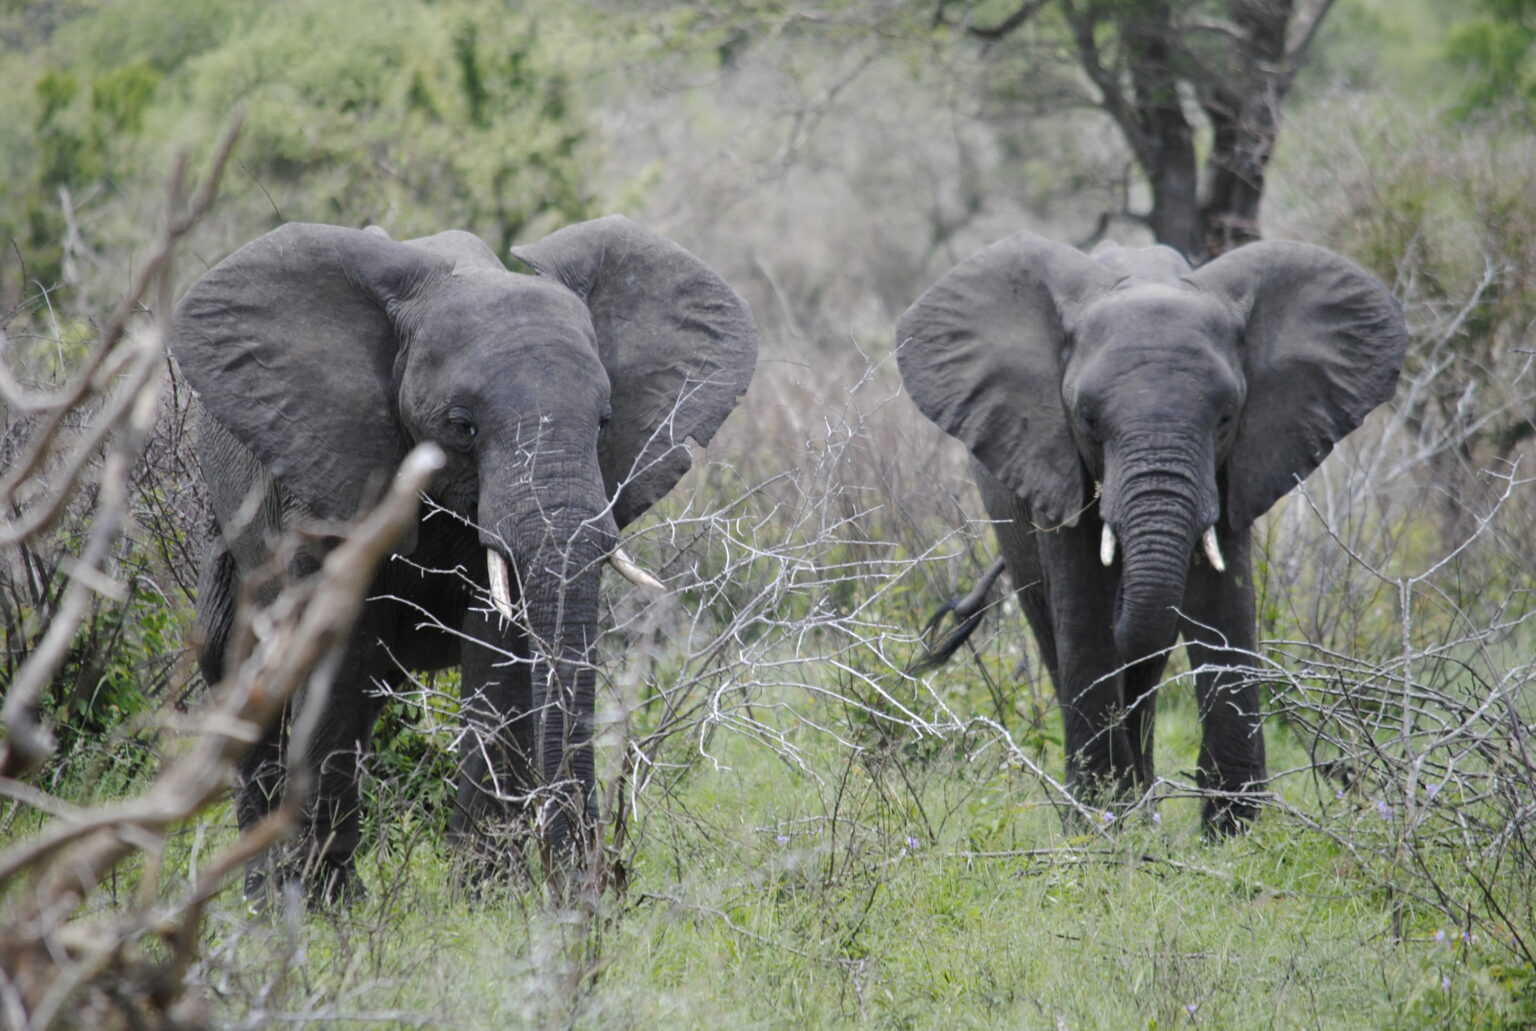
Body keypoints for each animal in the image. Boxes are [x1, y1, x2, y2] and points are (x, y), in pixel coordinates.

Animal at [169, 218, 755, 903]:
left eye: (605, 420)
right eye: (462, 426)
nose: (597, 887)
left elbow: (500, 654)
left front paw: (486, 900)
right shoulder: (322, 475)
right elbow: (335, 653)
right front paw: (327, 906)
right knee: (240, 666)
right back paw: (266, 895)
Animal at [897, 230, 1406, 835]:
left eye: (1227, 417)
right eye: (1087, 418)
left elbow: (1222, 604)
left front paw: (1235, 831)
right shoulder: (1052, 457)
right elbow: (1085, 613)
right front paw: (1097, 828)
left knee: (1146, 664)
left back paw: (1143, 807)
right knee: (1056, 635)